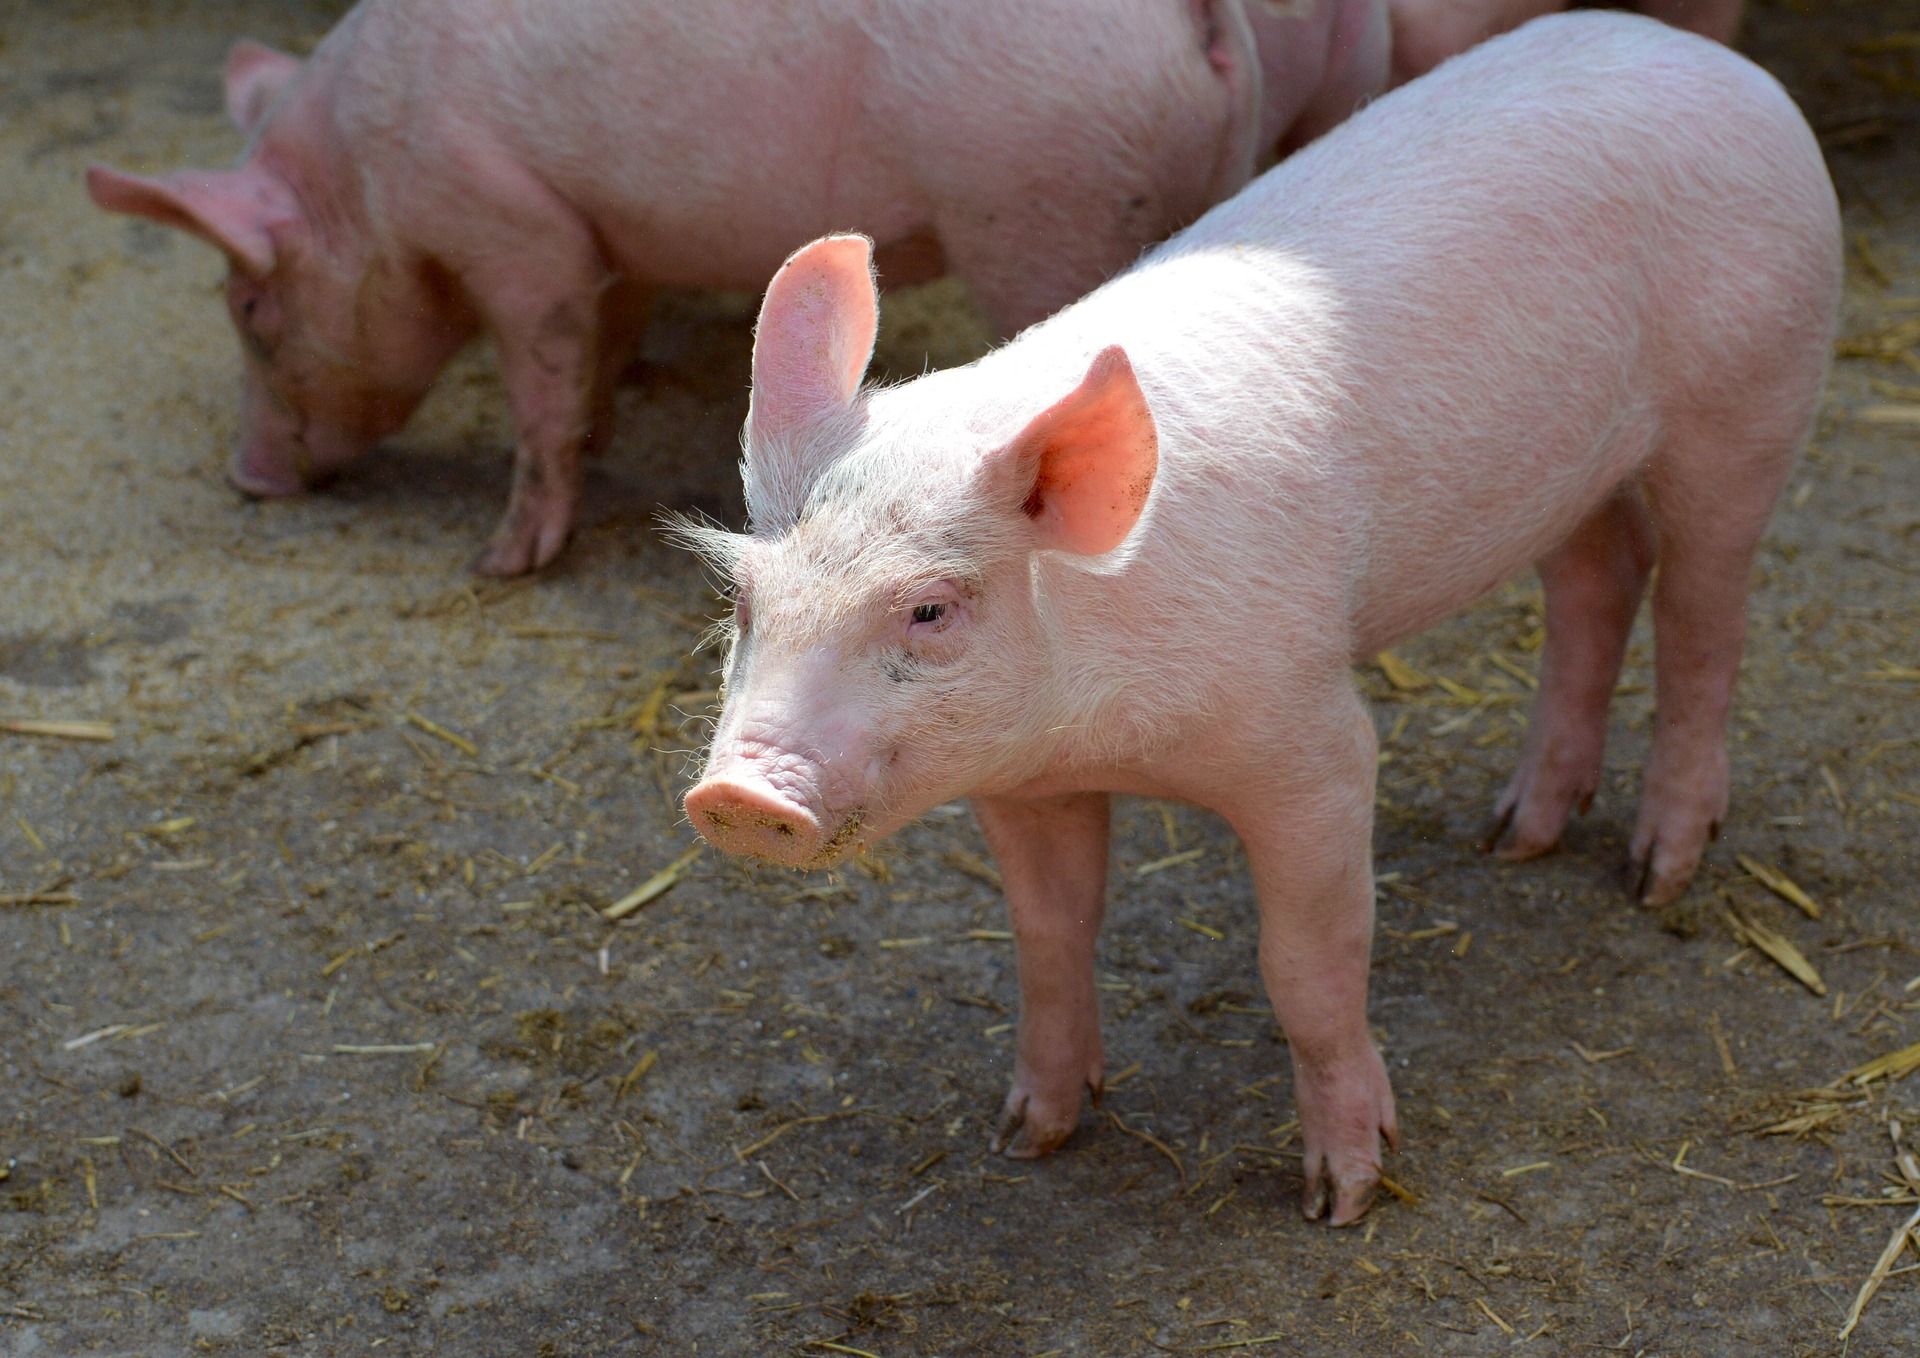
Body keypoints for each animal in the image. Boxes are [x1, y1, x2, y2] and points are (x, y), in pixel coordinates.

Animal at [83, 0, 1396, 577]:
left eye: (250, 308)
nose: (249, 480)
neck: (363, 177)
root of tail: (1199, 14)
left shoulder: (513, 224)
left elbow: (539, 376)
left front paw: (506, 561)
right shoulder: (602, 233)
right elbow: (601, 341)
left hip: (1046, 210)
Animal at [679, 12, 1840, 1225]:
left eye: (930, 607)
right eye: (745, 599)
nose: (739, 796)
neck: (1104, 733)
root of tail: (1704, 59)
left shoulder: (1311, 739)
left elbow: (1306, 961)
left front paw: (1344, 1195)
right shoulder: (1021, 782)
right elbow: (1050, 933)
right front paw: (1030, 1134)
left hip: (1752, 395)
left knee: (1706, 611)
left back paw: (1657, 873)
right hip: (1568, 473)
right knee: (1600, 575)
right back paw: (1516, 833)